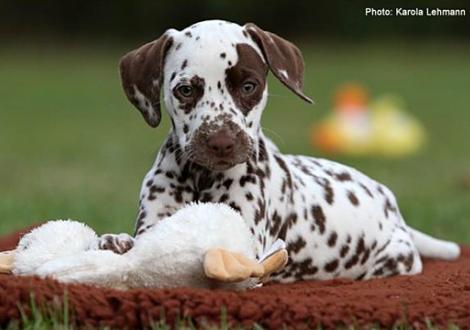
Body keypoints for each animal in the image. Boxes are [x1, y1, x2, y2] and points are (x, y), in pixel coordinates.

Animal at [100, 19, 458, 282]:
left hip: (393, 259)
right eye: (185, 90)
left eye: (249, 86)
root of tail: (394, 208)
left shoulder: (249, 243)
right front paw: (116, 242)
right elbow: (141, 244)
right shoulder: (154, 223)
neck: (202, 177)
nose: (221, 141)